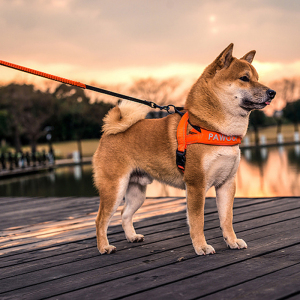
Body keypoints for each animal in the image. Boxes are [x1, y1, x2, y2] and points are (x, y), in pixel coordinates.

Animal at [92, 44, 276, 255]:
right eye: (244, 78)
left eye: (257, 78)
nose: (272, 92)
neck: (213, 128)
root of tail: (108, 133)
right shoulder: (196, 184)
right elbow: (197, 220)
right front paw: (201, 246)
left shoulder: (227, 184)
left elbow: (227, 219)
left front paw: (232, 241)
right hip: (114, 189)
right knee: (100, 220)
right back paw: (104, 247)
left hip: (137, 192)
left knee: (125, 214)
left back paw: (132, 237)